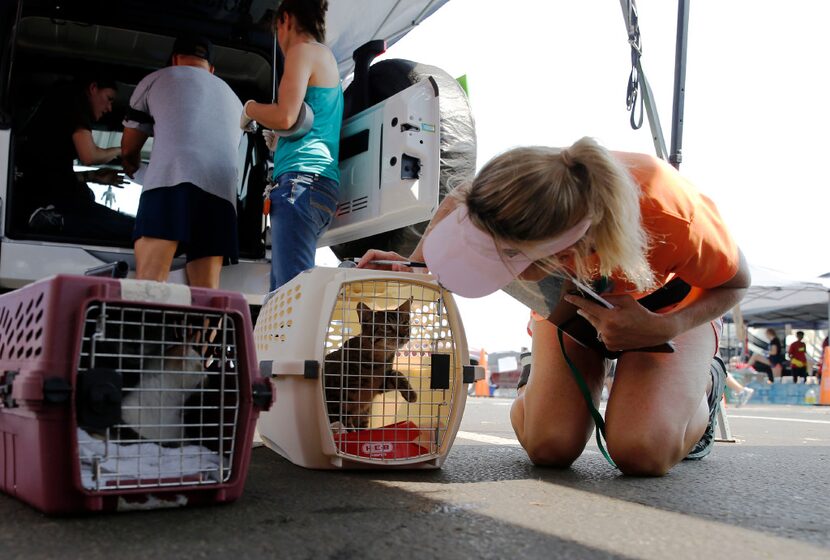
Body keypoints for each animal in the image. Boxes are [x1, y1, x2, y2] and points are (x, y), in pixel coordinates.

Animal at [324, 298, 416, 428]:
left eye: (405, 323)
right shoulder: (335, 398)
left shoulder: (380, 384)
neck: (377, 361)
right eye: (387, 327)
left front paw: (411, 394)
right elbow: (344, 424)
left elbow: (397, 374)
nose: (404, 335)